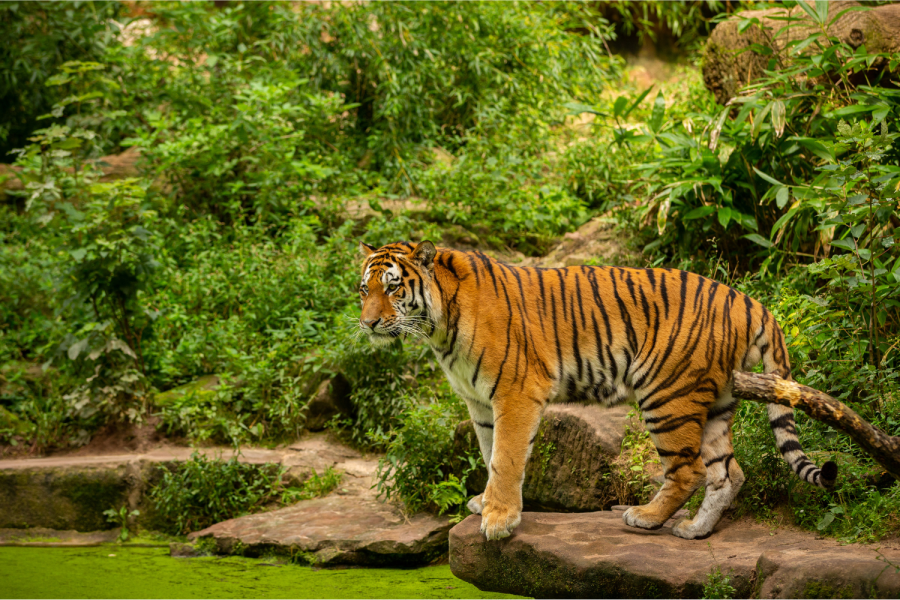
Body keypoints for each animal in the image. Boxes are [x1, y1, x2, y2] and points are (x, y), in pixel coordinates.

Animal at [357, 240, 837, 540]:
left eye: (393, 287)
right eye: (364, 289)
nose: (368, 323)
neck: (438, 326)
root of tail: (748, 300)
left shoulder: (515, 391)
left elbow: (507, 457)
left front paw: (499, 519)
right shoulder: (479, 402)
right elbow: (489, 452)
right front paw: (487, 503)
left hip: (666, 394)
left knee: (690, 470)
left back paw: (646, 517)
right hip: (717, 401)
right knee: (728, 472)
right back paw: (694, 530)